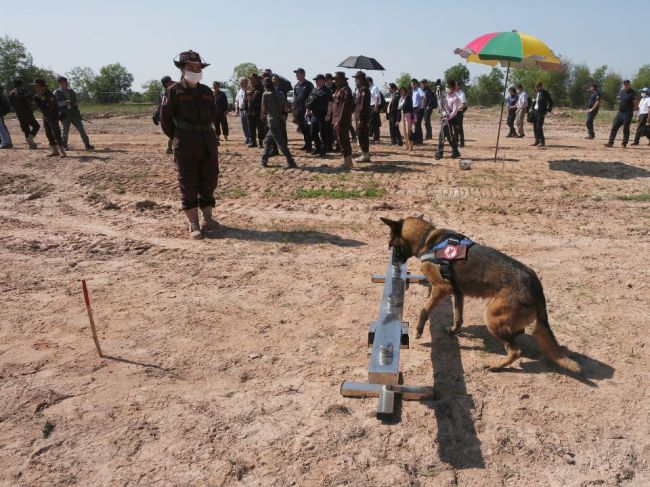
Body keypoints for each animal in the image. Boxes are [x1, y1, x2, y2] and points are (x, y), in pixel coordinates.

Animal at [380, 217, 576, 374]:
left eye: (391, 245)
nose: (393, 264)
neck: (426, 238)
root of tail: (534, 282)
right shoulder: (457, 293)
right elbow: (458, 317)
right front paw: (454, 331)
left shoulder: (441, 288)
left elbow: (424, 310)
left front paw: (419, 330)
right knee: (518, 331)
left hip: (491, 317)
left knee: (516, 351)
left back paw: (496, 366)